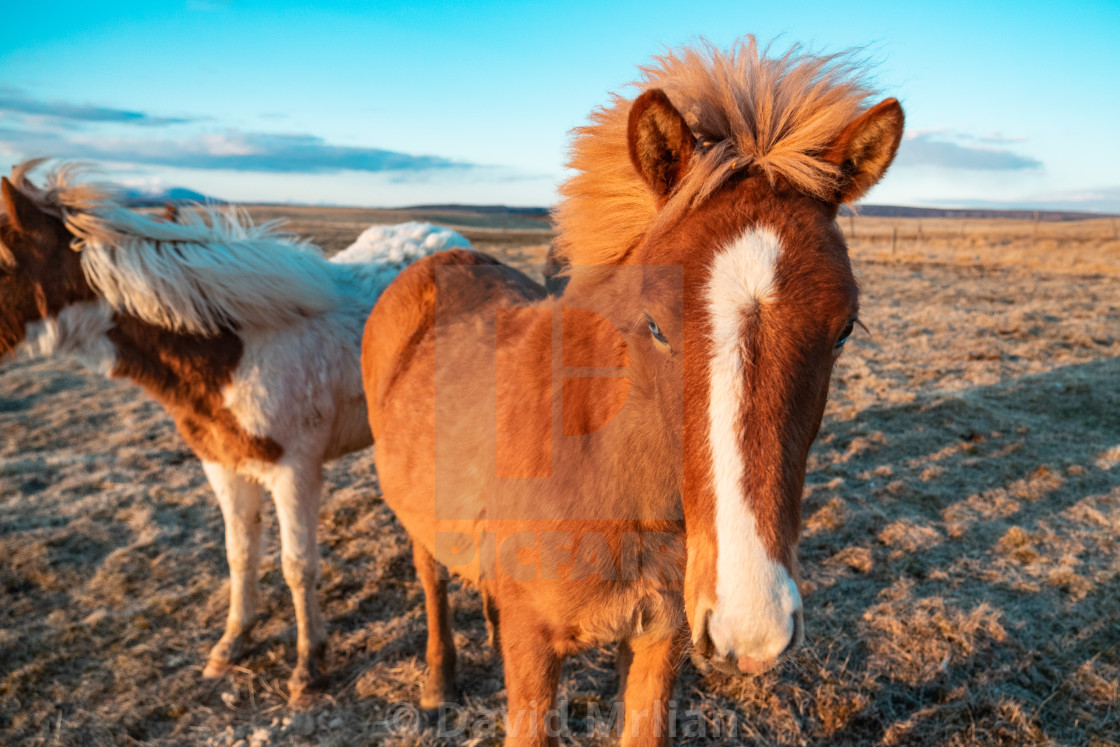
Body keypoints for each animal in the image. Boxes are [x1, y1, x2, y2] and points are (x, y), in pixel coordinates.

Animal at [0, 161, 470, 703]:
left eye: (1, 261)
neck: (232, 350)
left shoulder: (294, 471)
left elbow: (297, 564)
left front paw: (308, 666)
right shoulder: (222, 465)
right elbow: (239, 554)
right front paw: (232, 644)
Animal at [362, 38, 904, 743]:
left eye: (844, 330)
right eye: (655, 325)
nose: (753, 624)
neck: (602, 475)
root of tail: (432, 263)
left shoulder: (661, 638)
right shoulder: (534, 652)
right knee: (430, 577)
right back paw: (437, 683)